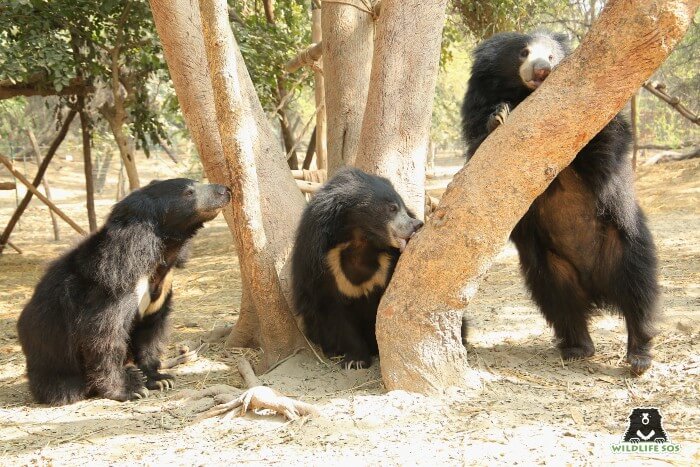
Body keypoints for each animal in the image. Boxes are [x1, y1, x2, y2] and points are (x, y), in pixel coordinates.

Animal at [17, 177, 231, 404]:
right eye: (189, 193)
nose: (225, 190)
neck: (159, 256)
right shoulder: (115, 282)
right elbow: (105, 335)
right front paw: (129, 391)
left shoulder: (163, 288)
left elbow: (151, 333)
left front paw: (159, 379)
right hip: (50, 349)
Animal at [290, 168, 422, 370]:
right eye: (392, 208)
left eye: (404, 207)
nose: (417, 224)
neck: (361, 241)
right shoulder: (322, 267)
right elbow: (336, 314)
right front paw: (355, 360)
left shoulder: (387, 262)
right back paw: (332, 351)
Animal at [462, 32, 660, 376]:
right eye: (523, 53)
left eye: (553, 56)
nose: (542, 69)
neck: (523, 97)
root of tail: (596, 283)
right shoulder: (476, 105)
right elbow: (480, 151)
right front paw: (498, 117)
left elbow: (606, 141)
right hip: (549, 266)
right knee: (560, 303)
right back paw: (578, 347)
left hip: (625, 243)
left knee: (640, 290)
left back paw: (639, 354)